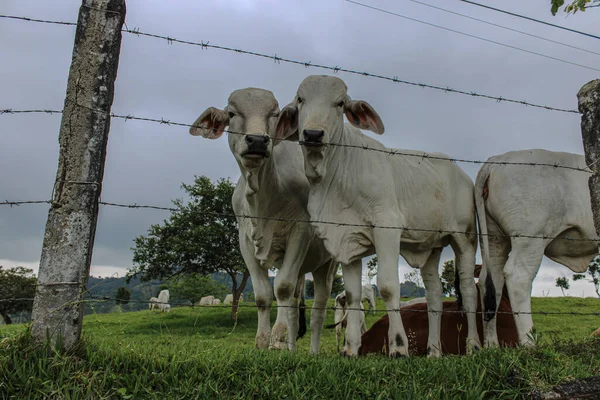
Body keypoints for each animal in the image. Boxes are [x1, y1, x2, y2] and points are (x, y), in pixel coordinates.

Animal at [190, 87, 336, 354]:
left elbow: (282, 288)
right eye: (232, 113)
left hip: (329, 264)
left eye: (275, 114)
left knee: (320, 308)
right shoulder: (245, 241)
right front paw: (263, 339)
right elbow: (262, 295)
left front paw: (276, 337)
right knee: (297, 305)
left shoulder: (300, 232)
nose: (257, 140)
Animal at [278, 76, 482, 360]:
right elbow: (353, 295)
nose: (313, 135)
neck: (335, 176)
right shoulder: (346, 241)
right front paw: (350, 349)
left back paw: (474, 345)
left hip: (465, 239)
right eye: (300, 99)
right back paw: (433, 351)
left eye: (340, 103)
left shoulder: (387, 229)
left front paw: (398, 346)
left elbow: (388, 286)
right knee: (434, 297)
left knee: (469, 290)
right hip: (431, 248)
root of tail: (460, 172)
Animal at [474, 150, 596, 346]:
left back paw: (492, 345)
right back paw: (529, 343)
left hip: (494, 238)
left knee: (490, 281)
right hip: (531, 238)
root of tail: (495, 161)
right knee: (518, 277)